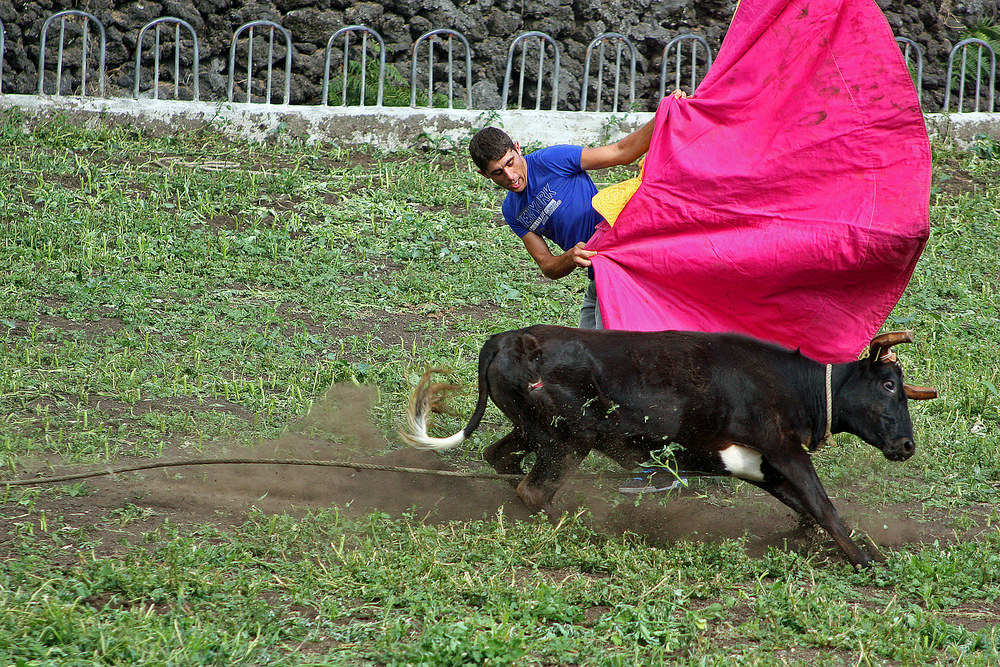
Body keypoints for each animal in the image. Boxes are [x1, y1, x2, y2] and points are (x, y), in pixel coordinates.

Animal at [400, 326, 936, 568]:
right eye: (889, 384)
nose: (907, 445)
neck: (793, 385)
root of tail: (506, 339)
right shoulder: (784, 450)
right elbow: (823, 505)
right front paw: (868, 560)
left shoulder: (762, 464)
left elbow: (805, 507)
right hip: (568, 438)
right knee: (535, 489)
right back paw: (580, 528)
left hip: (535, 431)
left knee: (503, 460)